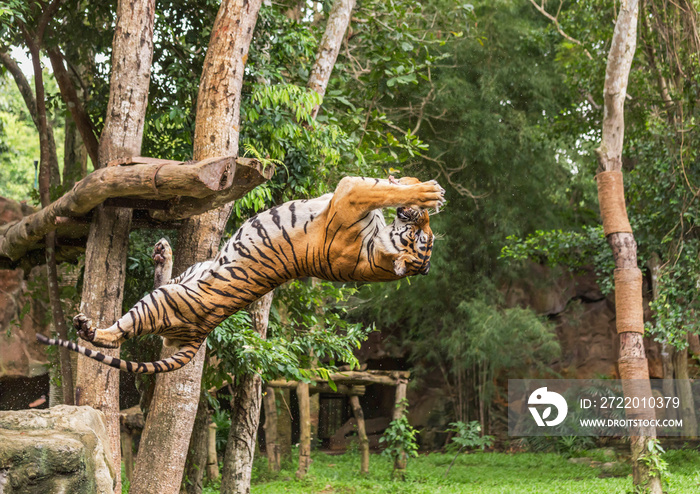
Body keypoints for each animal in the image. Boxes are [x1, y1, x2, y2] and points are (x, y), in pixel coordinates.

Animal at [37, 176, 442, 372]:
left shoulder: (349, 194)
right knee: (164, 278)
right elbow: (387, 187)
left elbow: (377, 190)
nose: (420, 219)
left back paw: (90, 328)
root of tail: (199, 336)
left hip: (162, 301)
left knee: (115, 335)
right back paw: (162, 252)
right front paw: (424, 189)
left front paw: (423, 193)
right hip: (191, 274)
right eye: (427, 235)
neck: (377, 255)